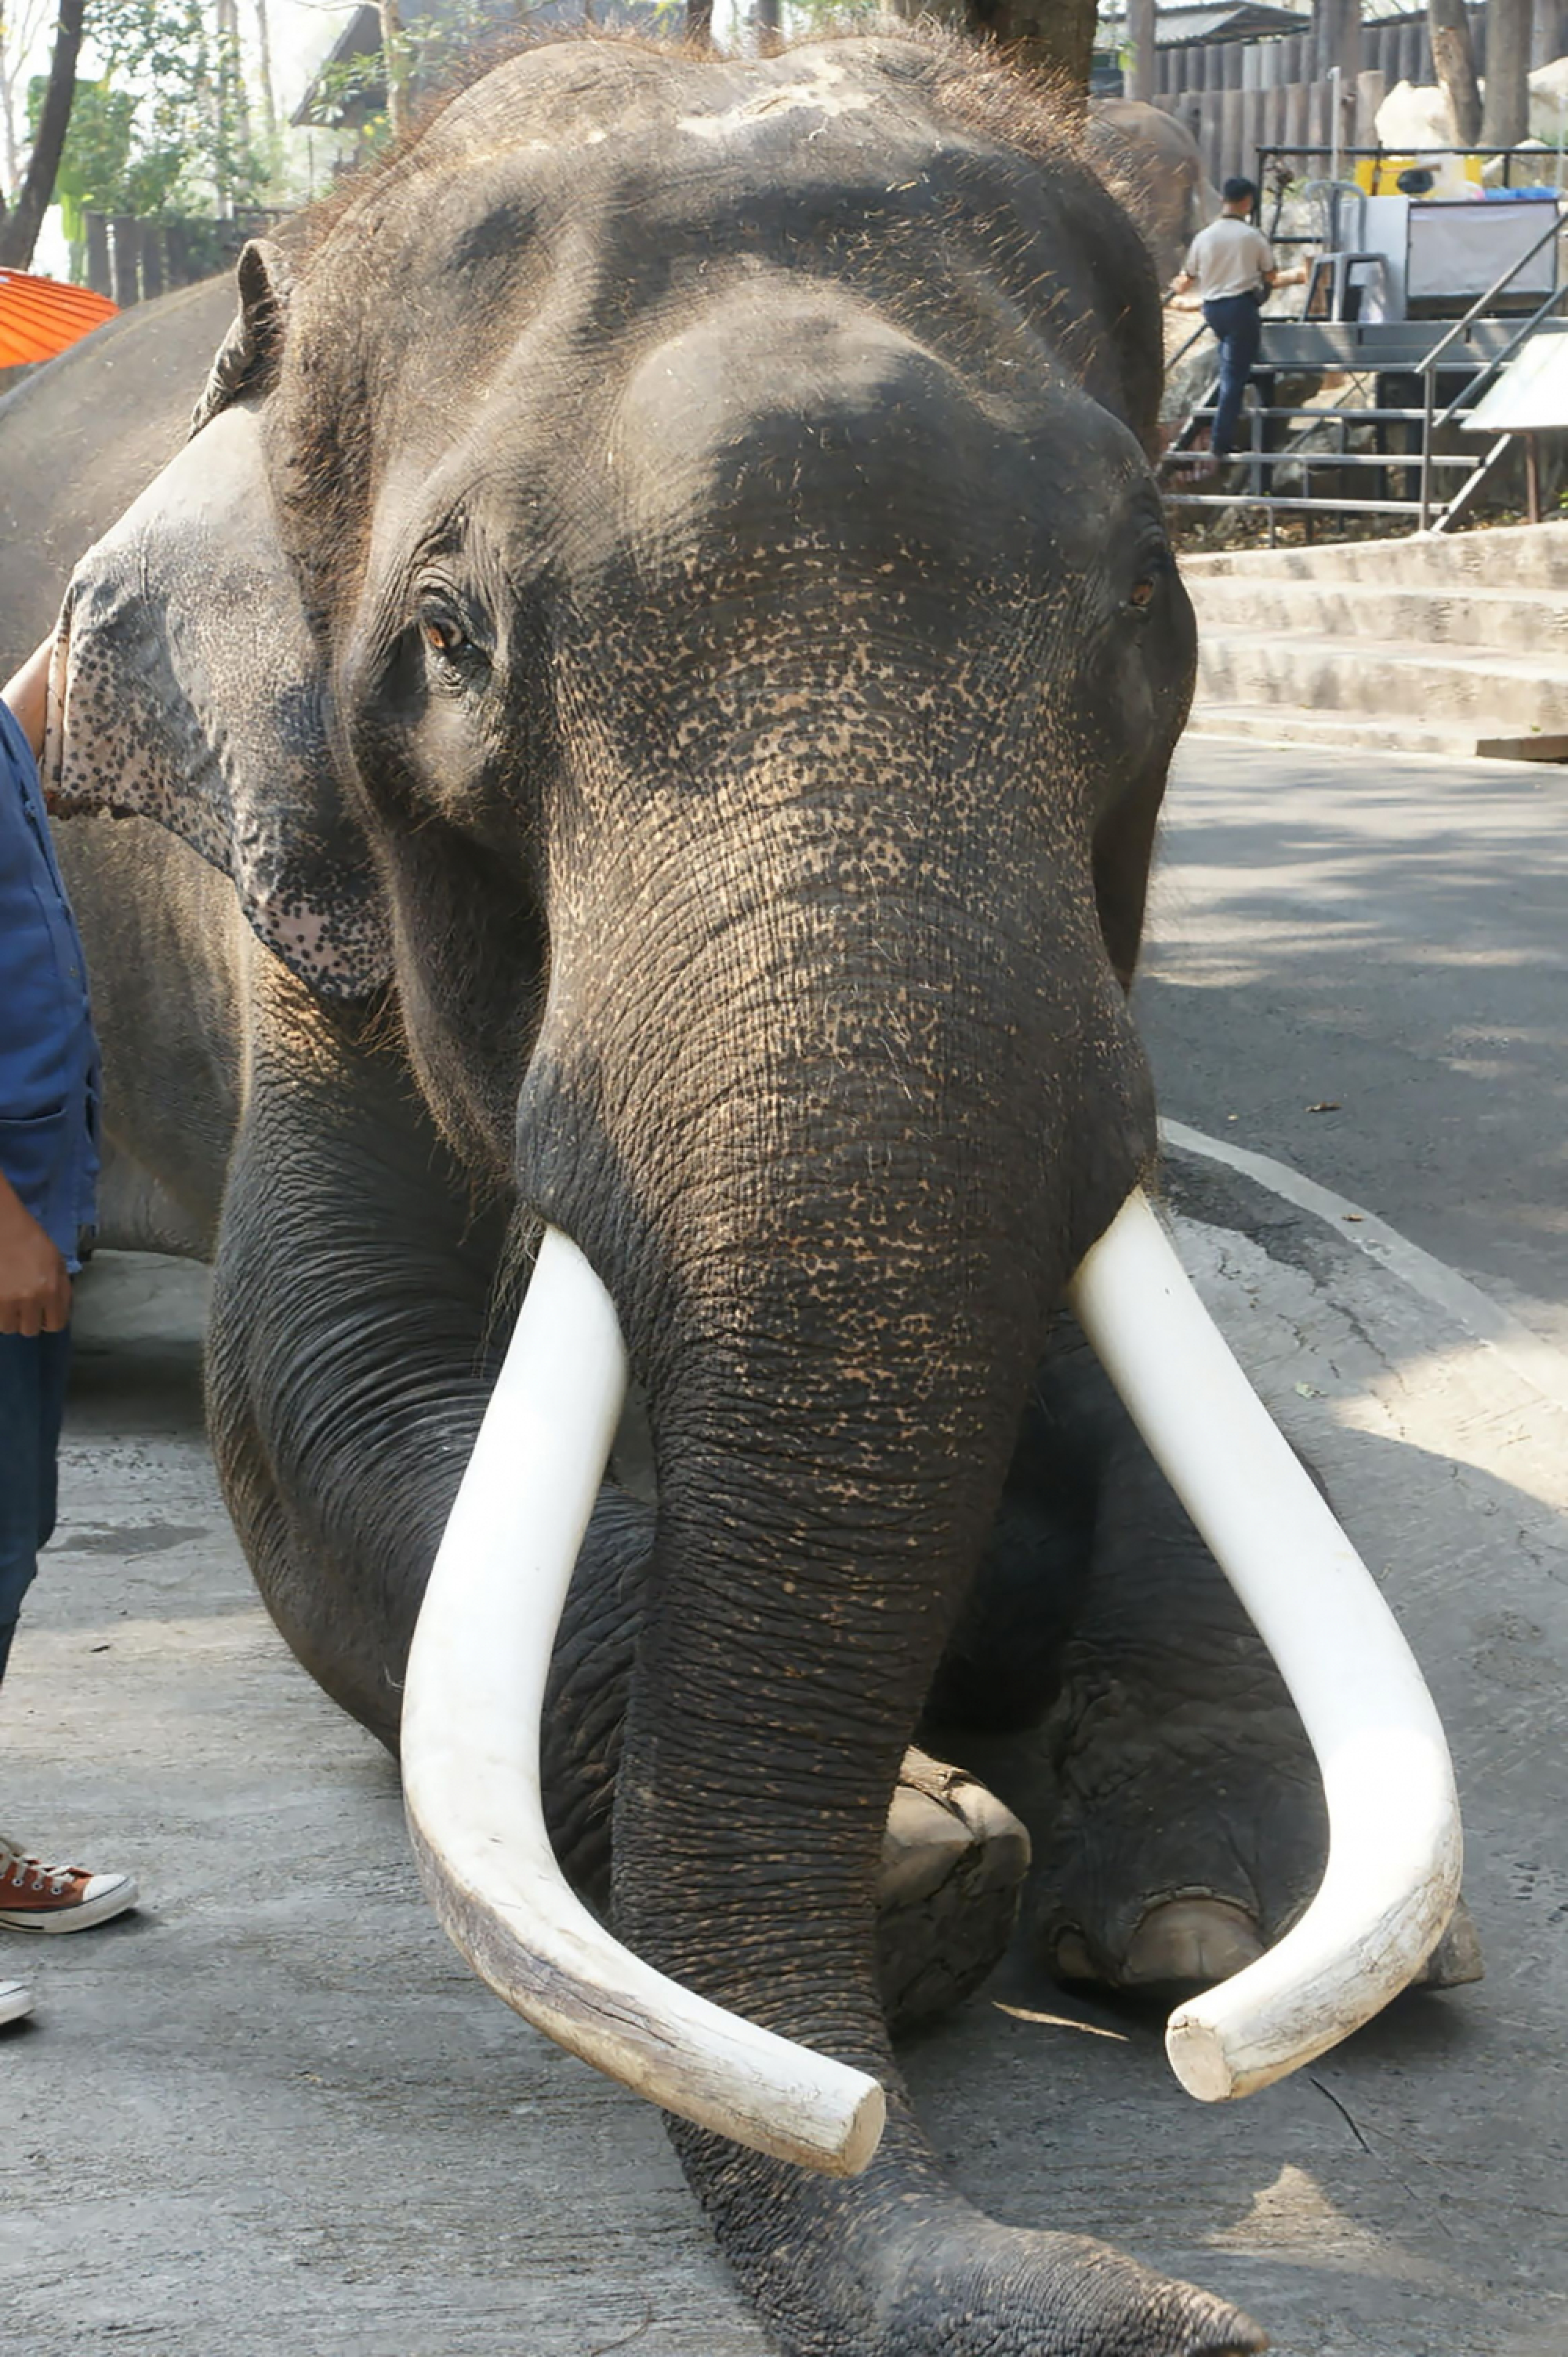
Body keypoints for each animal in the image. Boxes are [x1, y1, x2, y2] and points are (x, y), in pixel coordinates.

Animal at [0, 32, 1471, 2357]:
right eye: (444, 640)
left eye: (1150, 604)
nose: (1163, 2308)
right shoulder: (290, 898)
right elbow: (318, 1404)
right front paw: (920, 1858)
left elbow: (1169, 1402)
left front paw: (1204, 1921)